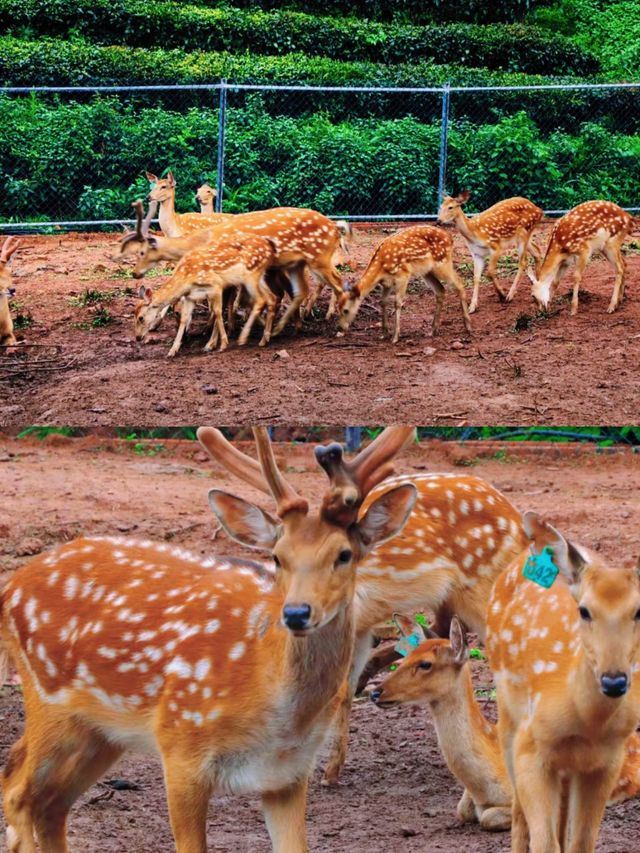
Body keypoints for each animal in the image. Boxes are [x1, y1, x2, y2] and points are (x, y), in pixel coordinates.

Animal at [1, 422, 420, 848]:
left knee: (49, 803)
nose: (296, 613)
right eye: (277, 556)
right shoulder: (180, 745)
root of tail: (10, 586)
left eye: (344, 554)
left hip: (100, 733)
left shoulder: (289, 771)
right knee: (18, 790)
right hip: (49, 703)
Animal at [135, 233, 280, 356]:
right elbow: (185, 319)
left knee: (261, 299)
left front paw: (222, 344)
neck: (186, 277)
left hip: (251, 275)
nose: (137, 337)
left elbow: (217, 312)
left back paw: (244, 338)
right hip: (259, 277)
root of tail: (270, 246)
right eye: (134, 315)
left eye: (141, 317)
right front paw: (172, 351)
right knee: (272, 297)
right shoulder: (190, 296)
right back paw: (265, 339)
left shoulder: (216, 285)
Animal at [198, 426, 528, 784]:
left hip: (485, 589)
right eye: (277, 557)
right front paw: (332, 769)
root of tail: (516, 519)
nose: (297, 613)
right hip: (450, 597)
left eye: (343, 555)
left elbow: (336, 692)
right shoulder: (360, 628)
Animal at [336, 223, 470, 342]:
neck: (381, 266)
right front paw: (384, 334)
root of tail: (450, 238)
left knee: (460, 283)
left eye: (346, 310)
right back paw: (433, 330)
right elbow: (382, 302)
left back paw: (468, 327)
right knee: (440, 290)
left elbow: (398, 303)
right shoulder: (386, 283)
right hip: (427, 271)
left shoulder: (403, 275)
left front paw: (395, 337)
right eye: (338, 308)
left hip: (442, 263)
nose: (340, 328)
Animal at [484, 512, 640, 852]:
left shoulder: (609, 760)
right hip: (508, 718)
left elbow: (580, 842)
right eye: (584, 610)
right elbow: (545, 843)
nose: (613, 681)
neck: (587, 723)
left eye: (638, 612)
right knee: (518, 815)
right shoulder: (530, 748)